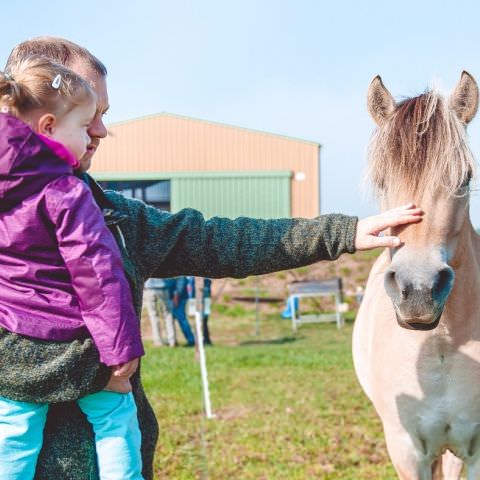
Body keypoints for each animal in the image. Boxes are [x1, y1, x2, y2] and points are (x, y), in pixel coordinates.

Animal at [352, 72, 480, 480]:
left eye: (465, 178)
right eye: (381, 181)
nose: (419, 291)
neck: (439, 348)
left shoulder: (475, 450)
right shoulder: (407, 451)